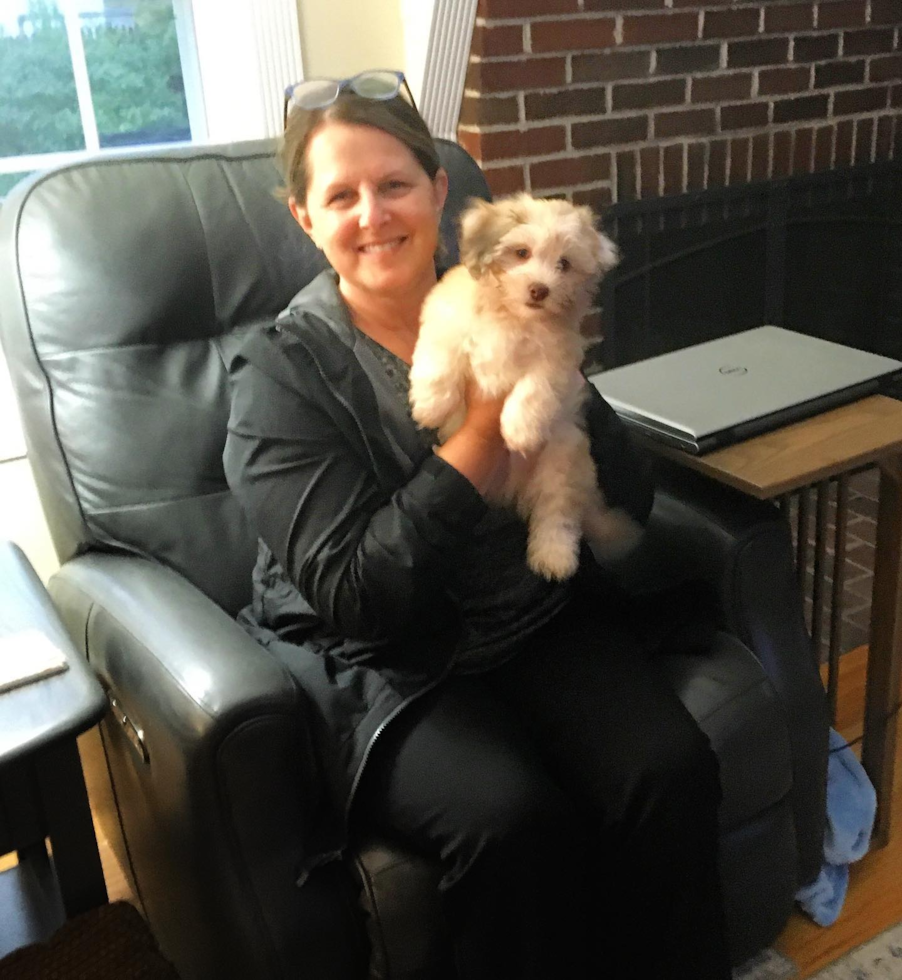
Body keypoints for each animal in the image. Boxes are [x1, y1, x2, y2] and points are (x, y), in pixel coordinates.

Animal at [412, 195, 644, 584]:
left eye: (564, 264)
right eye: (521, 252)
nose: (540, 289)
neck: (512, 315)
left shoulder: (556, 360)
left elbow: (534, 389)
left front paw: (519, 429)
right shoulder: (447, 318)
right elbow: (440, 355)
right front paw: (431, 404)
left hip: (562, 464)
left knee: (557, 516)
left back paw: (554, 557)